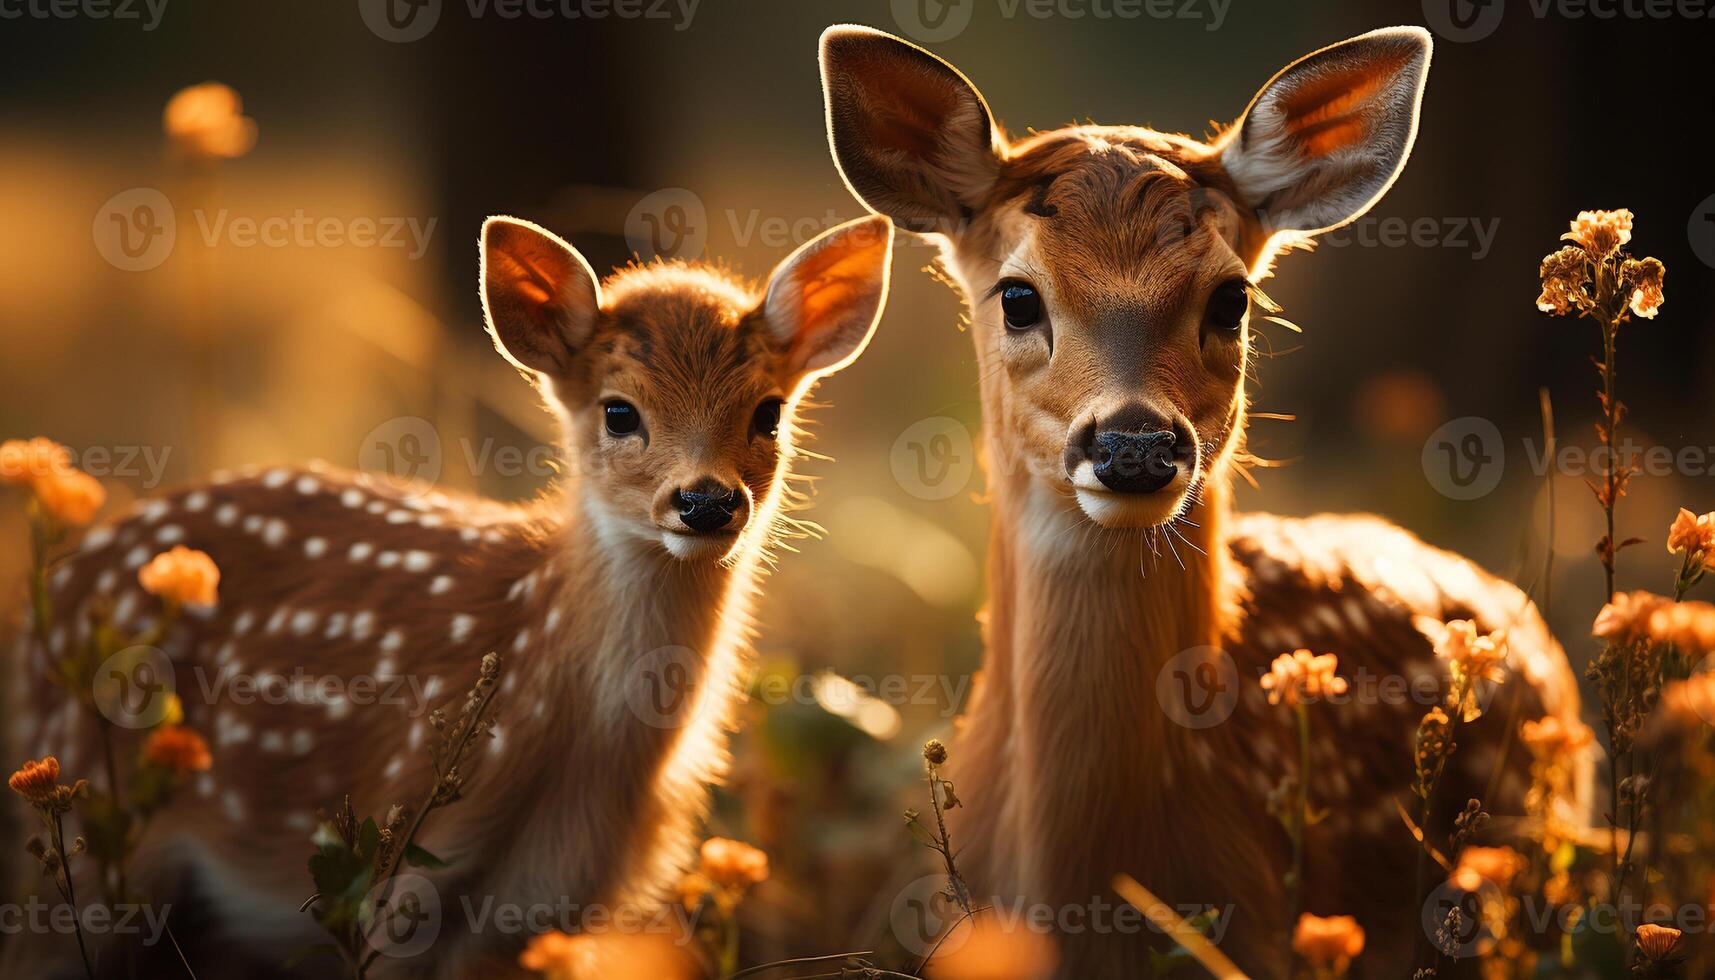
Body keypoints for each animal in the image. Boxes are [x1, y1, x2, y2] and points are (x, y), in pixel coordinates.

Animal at [6, 211, 898, 974]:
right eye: (618, 412)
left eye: (768, 412)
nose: (707, 502)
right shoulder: (401, 857)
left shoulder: (548, 908)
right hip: (87, 853)